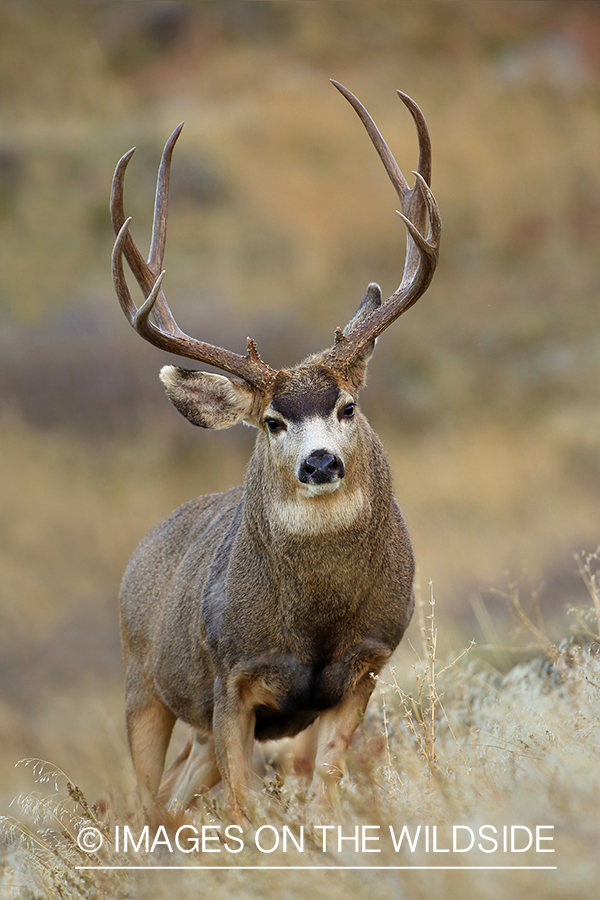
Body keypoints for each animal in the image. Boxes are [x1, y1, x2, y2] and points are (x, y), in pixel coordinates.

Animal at [111, 81, 440, 820]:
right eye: (270, 422)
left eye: (347, 406)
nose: (320, 462)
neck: (315, 622)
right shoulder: (230, 679)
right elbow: (244, 806)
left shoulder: (366, 666)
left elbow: (325, 786)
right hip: (143, 682)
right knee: (144, 806)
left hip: (194, 727)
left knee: (171, 799)